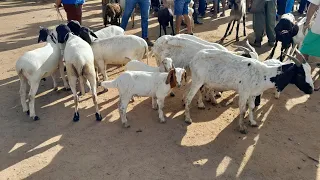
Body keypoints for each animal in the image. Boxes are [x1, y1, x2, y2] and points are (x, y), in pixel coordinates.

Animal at [184, 48, 314, 134]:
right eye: (300, 74)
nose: (311, 90)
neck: (264, 74)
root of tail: (194, 59)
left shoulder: (253, 94)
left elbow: (251, 107)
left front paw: (252, 122)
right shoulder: (244, 92)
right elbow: (242, 110)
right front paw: (242, 128)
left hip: (203, 81)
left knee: (201, 91)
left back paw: (202, 104)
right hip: (197, 80)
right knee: (188, 98)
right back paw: (188, 119)